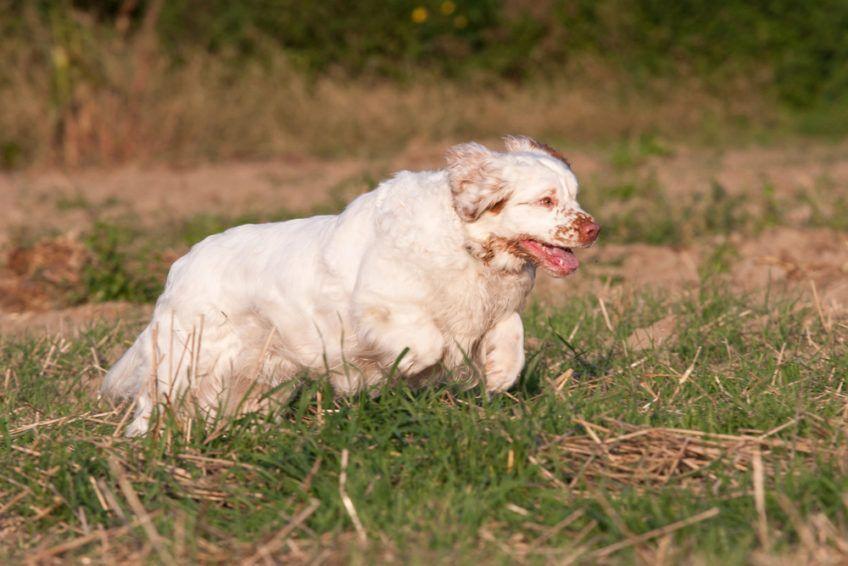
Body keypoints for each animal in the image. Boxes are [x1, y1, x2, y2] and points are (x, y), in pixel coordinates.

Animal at [102, 136, 600, 434]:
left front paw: (498, 376)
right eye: (545, 200)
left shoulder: (493, 309)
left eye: (574, 196)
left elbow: (511, 338)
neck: (465, 244)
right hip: (185, 360)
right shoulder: (382, 304)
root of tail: (183, 263)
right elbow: (428, 344)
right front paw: (399, 372)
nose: (593, 229)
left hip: (261, 376)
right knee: (152, 403)